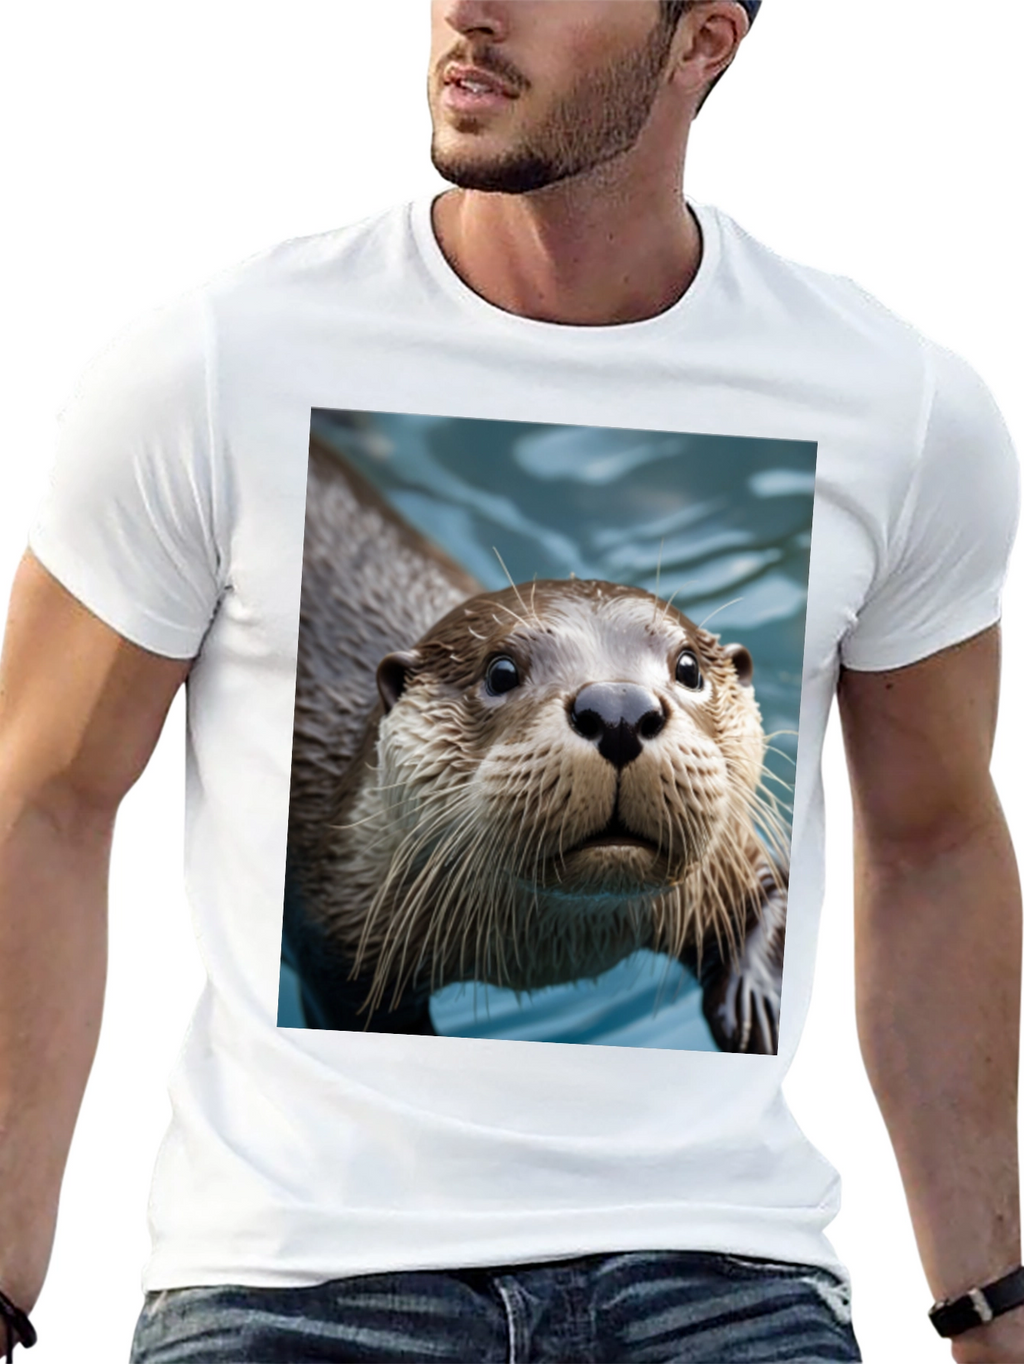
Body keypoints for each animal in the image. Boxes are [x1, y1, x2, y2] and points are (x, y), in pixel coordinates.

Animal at [282, 431, 787, 1054]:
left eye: (689, 667)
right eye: (501, 672)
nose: (619, 710)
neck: (555, 958)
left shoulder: (731, 865)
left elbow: (772, 898)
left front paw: (758, 1006)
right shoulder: (338, 944)